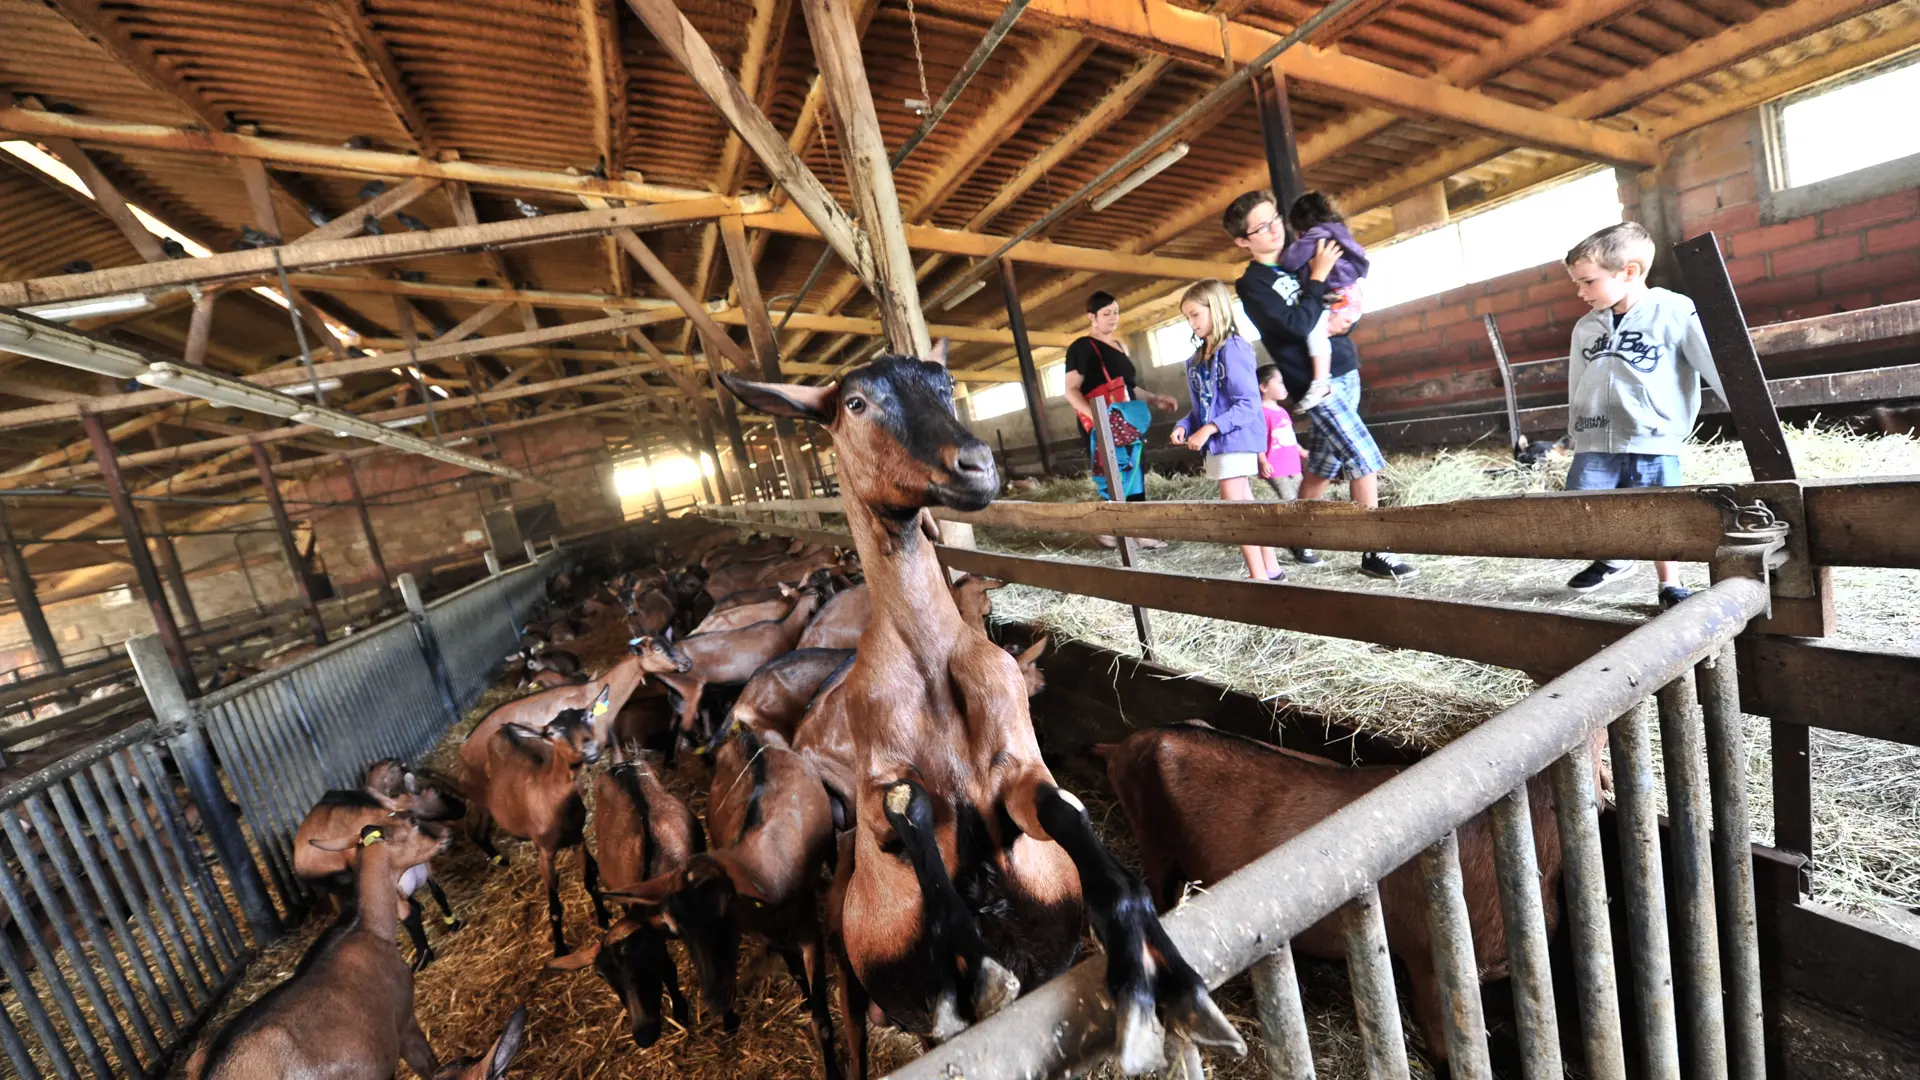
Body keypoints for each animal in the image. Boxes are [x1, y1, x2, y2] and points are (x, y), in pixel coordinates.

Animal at [464, 699, 606, 949]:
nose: (590, 749)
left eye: (588, 716)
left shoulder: (577, 839)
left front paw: (604, 918)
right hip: (482, 800)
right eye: (552, 732)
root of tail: (503, 730)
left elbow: (590, 881)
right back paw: (499, 859)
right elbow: (555, 907)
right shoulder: (545, 852)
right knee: (476, 830)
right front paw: (560, 950)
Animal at [721, 345, 1244, 1068]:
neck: (931, 667)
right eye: (854, 403)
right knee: (856, 1021)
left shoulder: (1018, 777)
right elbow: (909, 808)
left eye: (945, 385)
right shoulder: (878, 805)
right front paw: (972, 972)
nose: (974, 465)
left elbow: (1069, 814)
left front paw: (1166, 985)